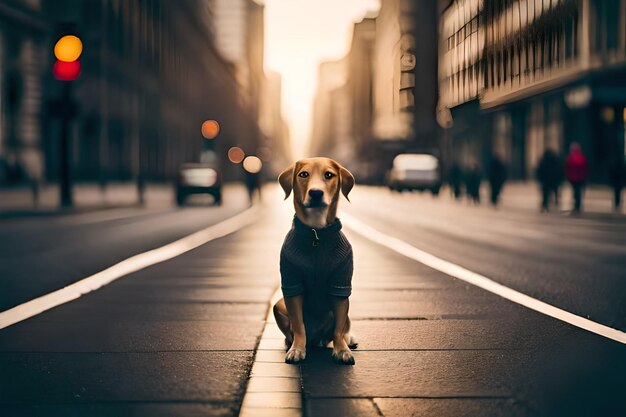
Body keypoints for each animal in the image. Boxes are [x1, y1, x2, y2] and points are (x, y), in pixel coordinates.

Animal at [272, 156, 356, 364]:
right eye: (303, 174)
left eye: (329, 175)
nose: (316, 193)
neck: (316, 234)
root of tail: (318, 339)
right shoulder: (291, 284)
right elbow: (298, 324)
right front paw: (297, 349)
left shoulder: (341, 285)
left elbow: (339, 328)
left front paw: (342, 350)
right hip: (278, 304)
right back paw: (292, 342)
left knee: (343, 326)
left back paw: (348, 339)